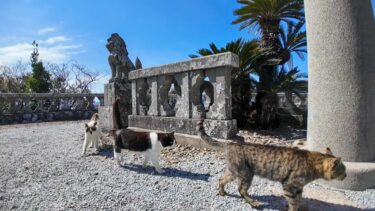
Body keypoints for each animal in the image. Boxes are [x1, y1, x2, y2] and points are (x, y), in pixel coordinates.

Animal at [198, 118, 348, 210]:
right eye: (344, 170)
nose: (346, 176)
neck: (313, 164)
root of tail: (230, 144)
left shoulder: (298, 187)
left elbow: (298, 199)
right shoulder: (289, 185)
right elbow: (294, 202)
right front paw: (292, 208)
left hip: (235, 171)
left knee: (221, 179)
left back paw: (222, 191)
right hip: (246, 174)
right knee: (241, 189)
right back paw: (253, 202)